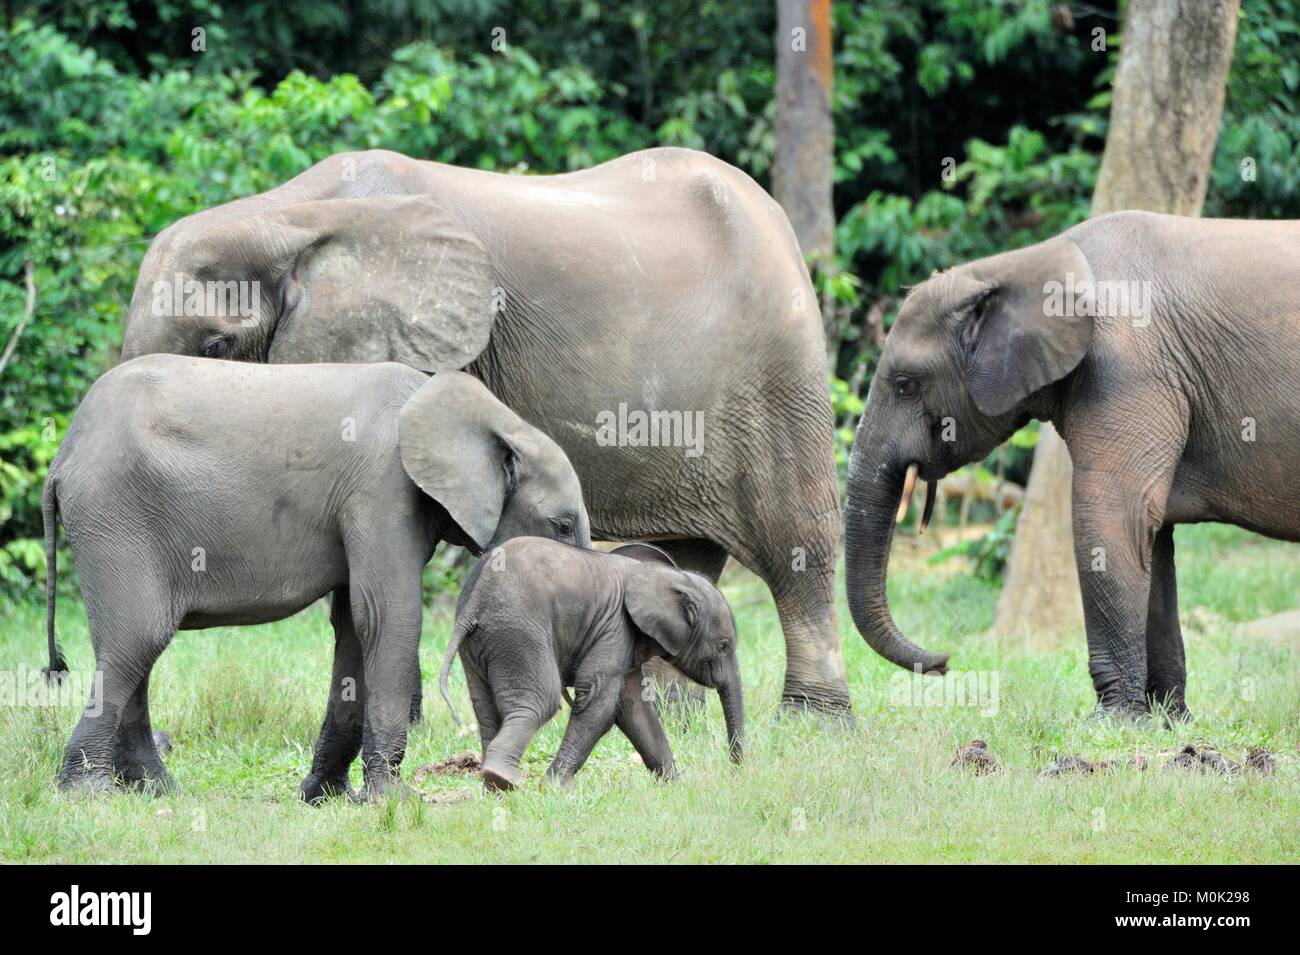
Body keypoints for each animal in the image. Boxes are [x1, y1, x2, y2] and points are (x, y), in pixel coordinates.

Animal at [42, 358, 590, 799]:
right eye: (562, 525)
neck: (497, 419)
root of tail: (63, 455)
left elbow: (354, 626)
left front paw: (325, 796)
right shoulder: (382, 487)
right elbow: (387, 615)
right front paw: (393, 799)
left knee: (132, 649)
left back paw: (158, 792)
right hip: (115, 515)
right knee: (139, 640)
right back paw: (88, 795)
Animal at [117, 147, 849, 714]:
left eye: (215, 346)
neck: (285, 220)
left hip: (778, 373)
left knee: (797, 541)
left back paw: (815, 720)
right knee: (690, 554)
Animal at [439, 538, 743, 790]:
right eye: (723, 645)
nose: (735, 774)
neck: (666, 576)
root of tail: (476, 600)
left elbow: (633, 708)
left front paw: (676, 787)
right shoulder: (615, 627)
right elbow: (599, 701)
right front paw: (554, 790)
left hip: (480, 643)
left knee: (485, 709)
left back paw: (492, 789)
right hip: (518, 631)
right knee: (541, 700)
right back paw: (502, 779)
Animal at [843, 210, 1300, 716]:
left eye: (905, 385)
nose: (946, 662)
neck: (1022, 263)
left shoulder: (1127, 370)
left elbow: (1111, 516)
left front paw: (1114, 722)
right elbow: (1150, 535)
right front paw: (1167, 722)